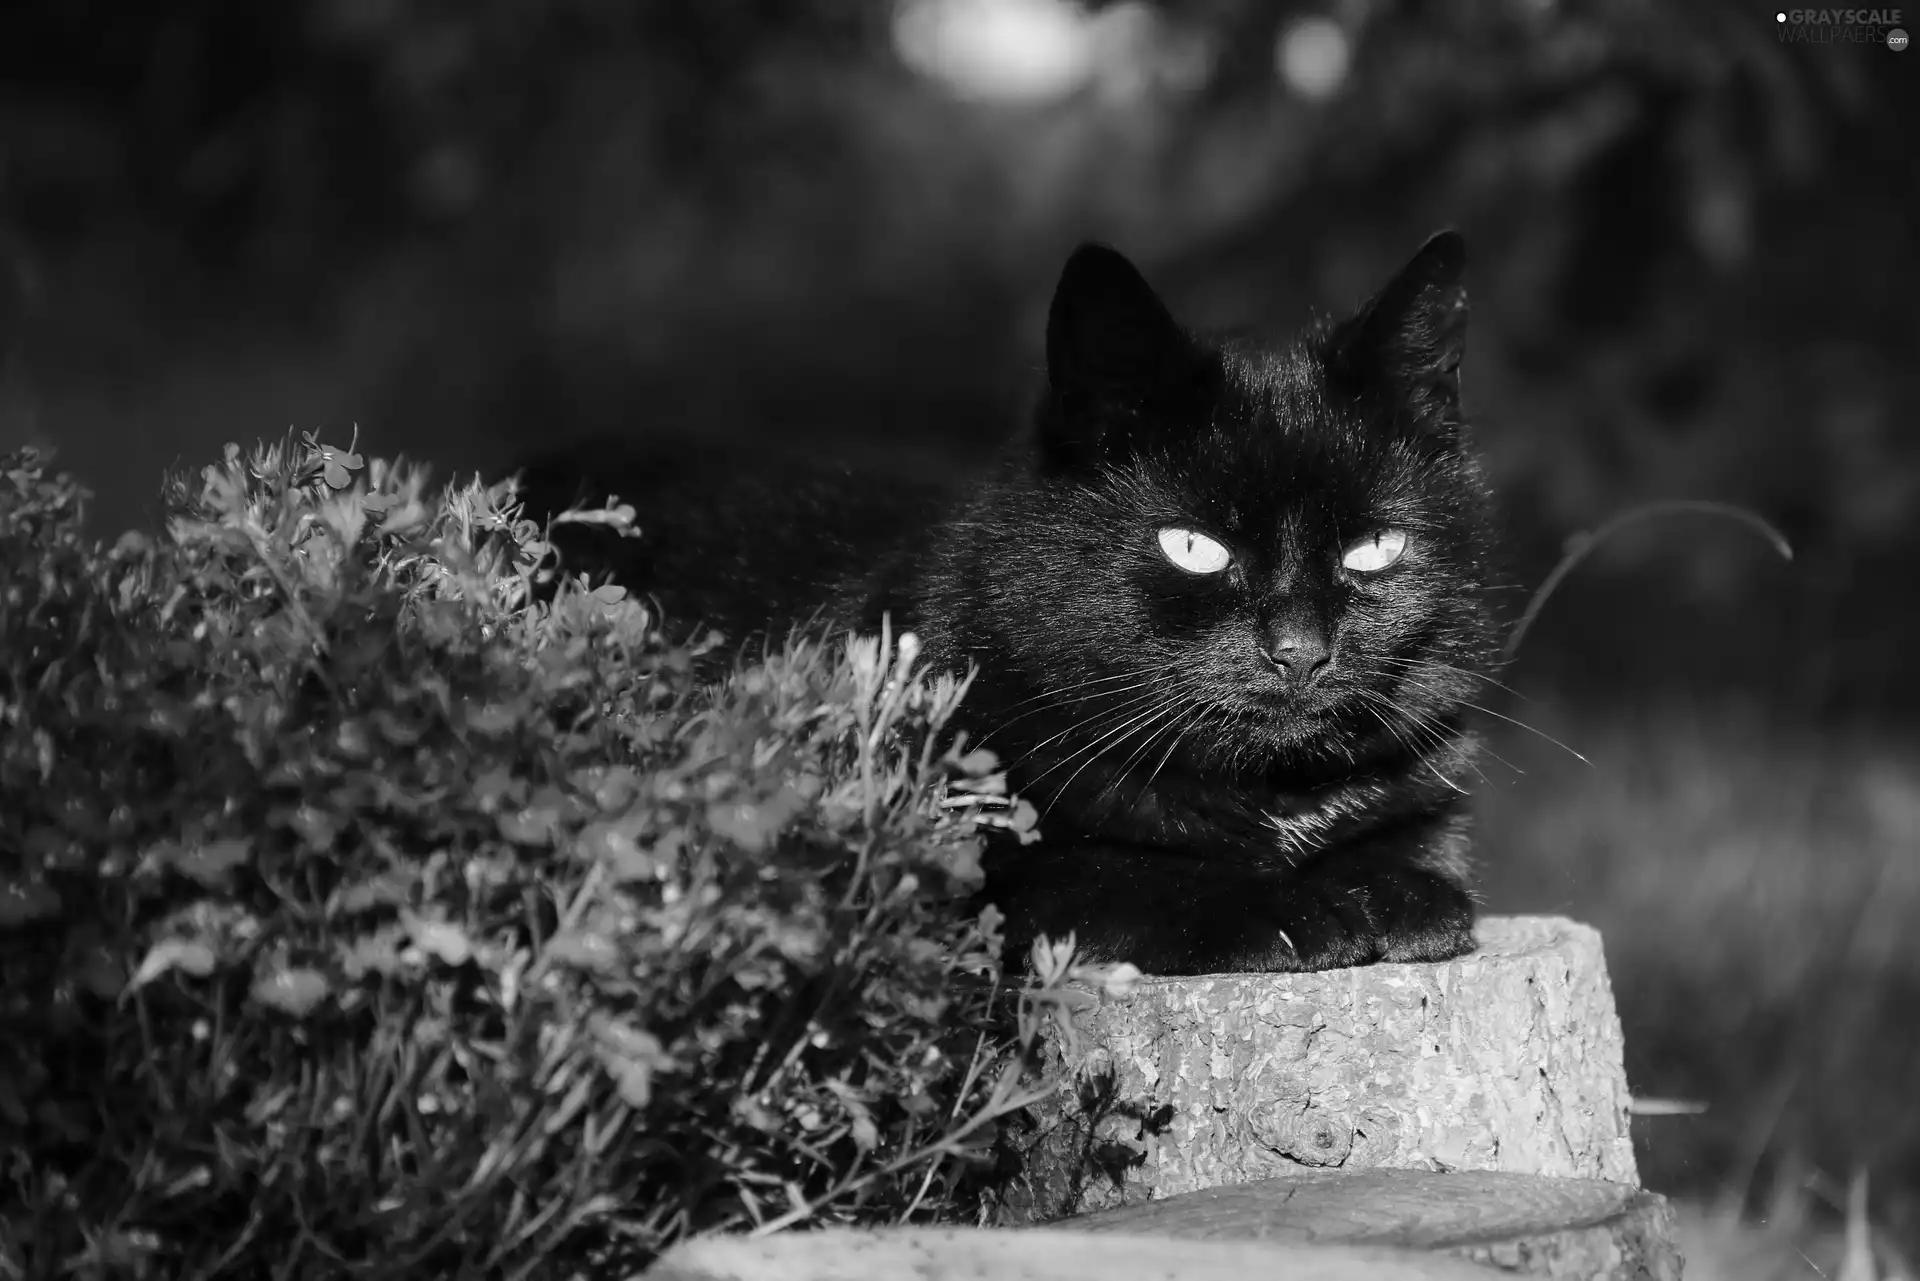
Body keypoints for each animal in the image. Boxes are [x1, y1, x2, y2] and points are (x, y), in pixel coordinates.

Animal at [518, 233, 1505, 971]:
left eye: (1374, 548)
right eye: (1192, 546)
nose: (1299, 647)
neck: (1271, 805)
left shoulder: (1428, 796)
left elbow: (1424, 860)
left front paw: (1391, 894)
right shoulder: (950, 862)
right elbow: (1108, 872)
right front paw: (1301, 912)